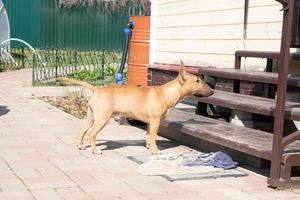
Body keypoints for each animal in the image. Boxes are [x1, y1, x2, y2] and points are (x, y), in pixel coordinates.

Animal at [57, 61, 213, 155]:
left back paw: (80, 145)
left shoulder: (150, 122)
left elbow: (148, 136)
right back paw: (96, 150)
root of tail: (97, 89)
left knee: (82, 129)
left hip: (91, 116)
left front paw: (149, 148)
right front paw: (156, 151)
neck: (167, 93)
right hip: (102, 118)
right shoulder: (155, 121)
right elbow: (154, 137)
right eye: (197, 81)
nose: (212, 92)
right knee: (91, 133)